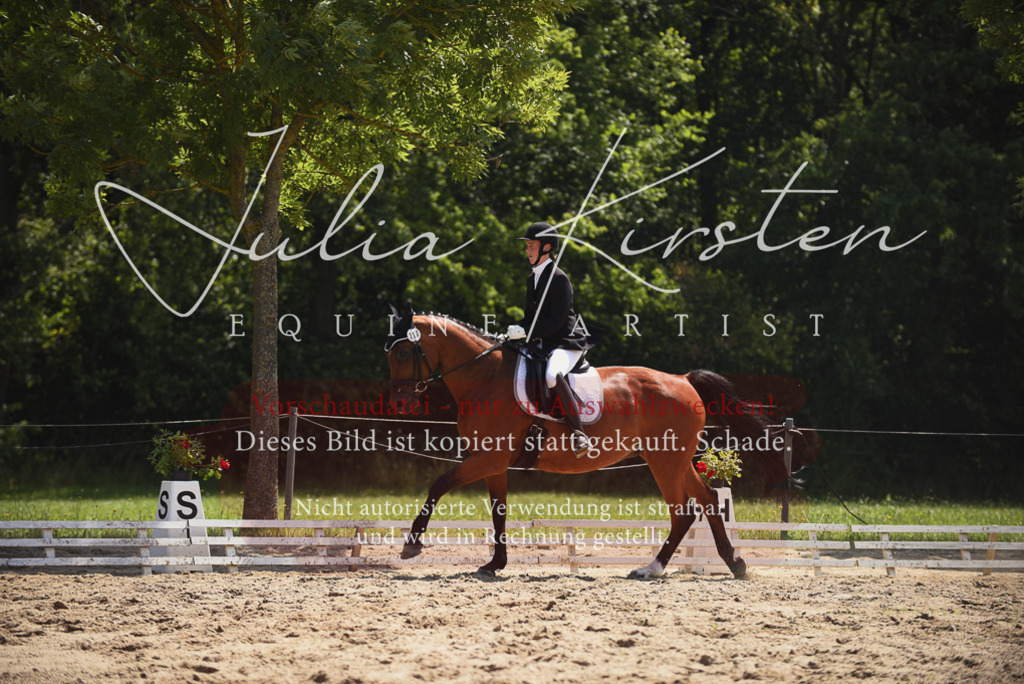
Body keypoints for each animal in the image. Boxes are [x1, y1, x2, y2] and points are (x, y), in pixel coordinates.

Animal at [384, 307, 790, 579]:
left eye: (403, 352)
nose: (398, 403)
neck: (485, 376)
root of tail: (683, 379)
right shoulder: (493, 462)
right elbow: (499, 511)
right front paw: (494, 564)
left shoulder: (487, 459)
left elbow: (438, 484)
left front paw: (412, 544)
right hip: (674, 459)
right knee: (705, 500)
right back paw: (734, 562)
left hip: (666, 461)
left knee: (685, 509)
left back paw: (653, 568)